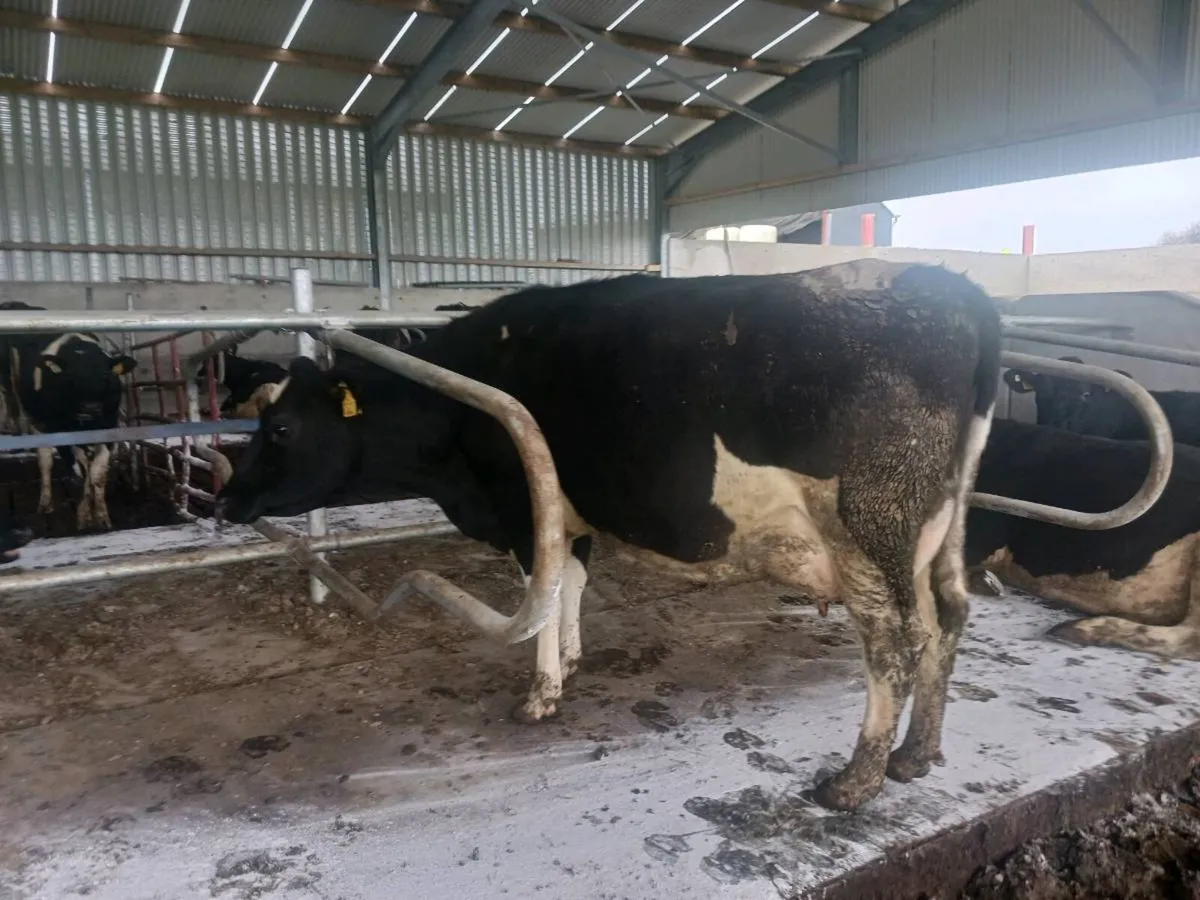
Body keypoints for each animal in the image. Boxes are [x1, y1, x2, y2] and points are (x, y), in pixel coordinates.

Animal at [0, 301, 136, 531]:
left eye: (106, 375)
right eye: (70, 377)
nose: (90, 408)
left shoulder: (109, 427)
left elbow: (97, 474)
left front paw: (102, 516)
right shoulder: (59, 430)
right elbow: (81, 473)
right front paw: (84, 516)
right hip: (33, 416)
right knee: (44, 460)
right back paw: (45, 503)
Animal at [214, 261, 1003, 812]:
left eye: (278, 428)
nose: (224, 499)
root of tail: (959, 292)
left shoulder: (525, 506)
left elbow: (539, 587)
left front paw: (540, 694)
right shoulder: (573, 511)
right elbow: (571, 580)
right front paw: (569, 657)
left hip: (868, 526)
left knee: (895, 645)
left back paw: (856, 781)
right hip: (937, 530)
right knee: (947, 617)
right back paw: (916, 755)